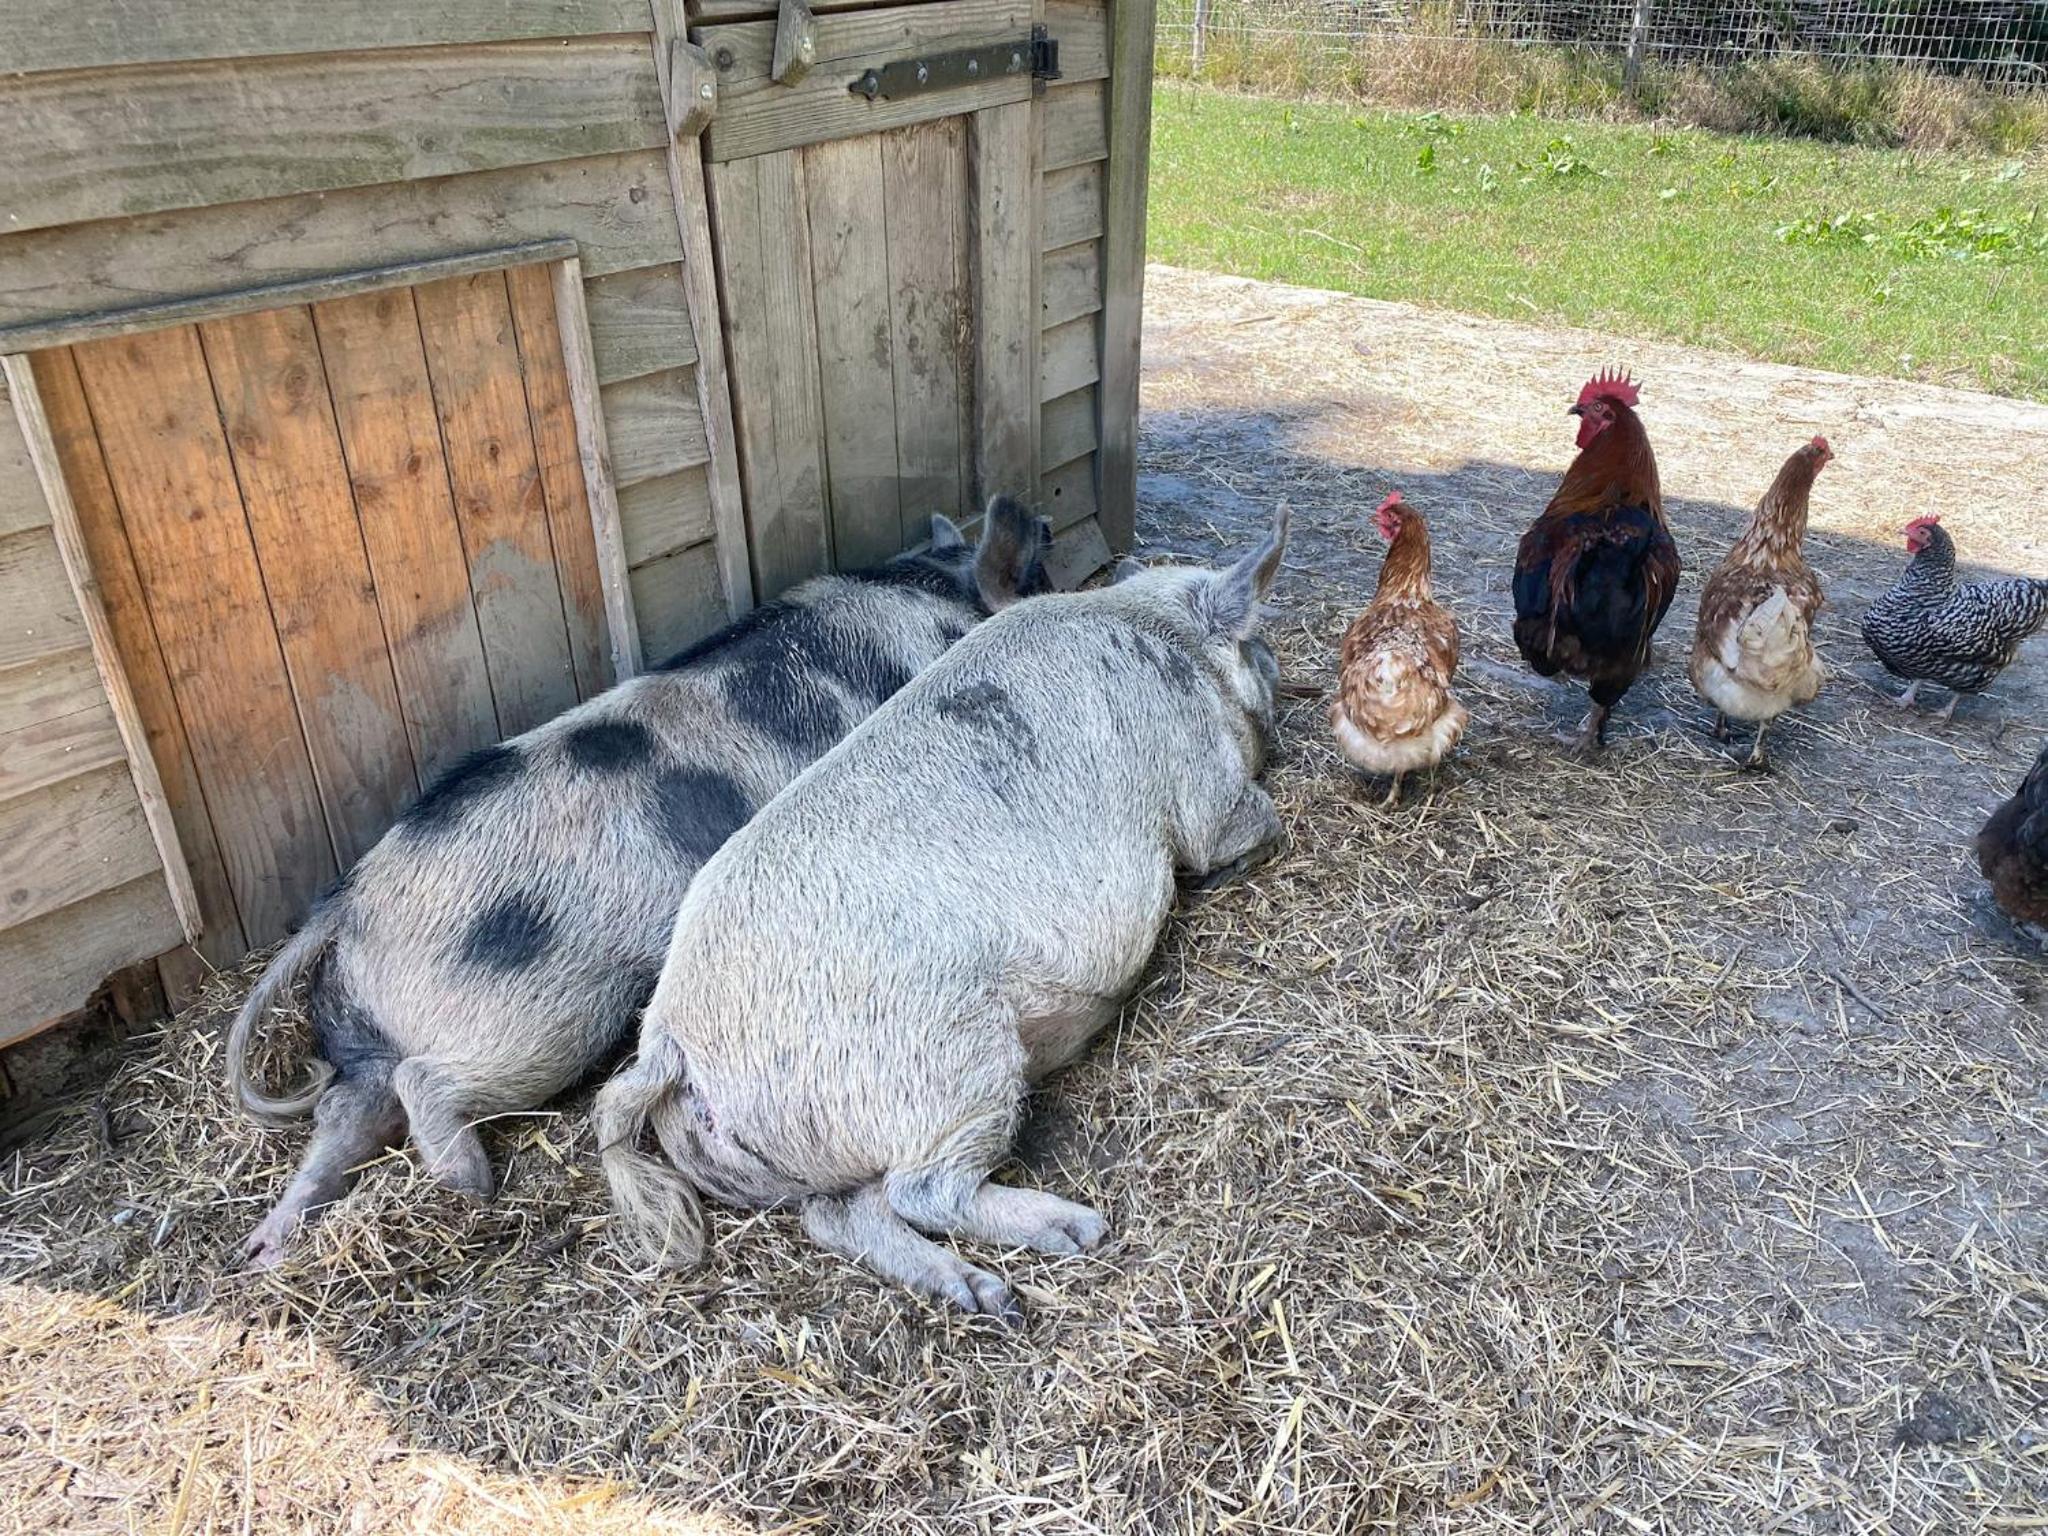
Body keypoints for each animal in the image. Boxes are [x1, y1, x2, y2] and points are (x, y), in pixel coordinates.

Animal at [227, 500, 1051, 1267]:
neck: (939, 592)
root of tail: (346, 904)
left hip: (366, 1027)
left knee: (347, 1109)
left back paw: (267, 1243)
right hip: (538, 1014)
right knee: (421, 1082)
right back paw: (470, 1181)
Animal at [595, 508, 1289, 1321]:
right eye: (1255, 643)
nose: (1278, 668)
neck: (1158, 630)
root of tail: (668, 1046)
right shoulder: (1201, 781)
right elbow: (1251, 822)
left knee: (838, 1214)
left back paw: (978, 1291)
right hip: (951, 1059)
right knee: (921, 1190)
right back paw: (1073, 1234)